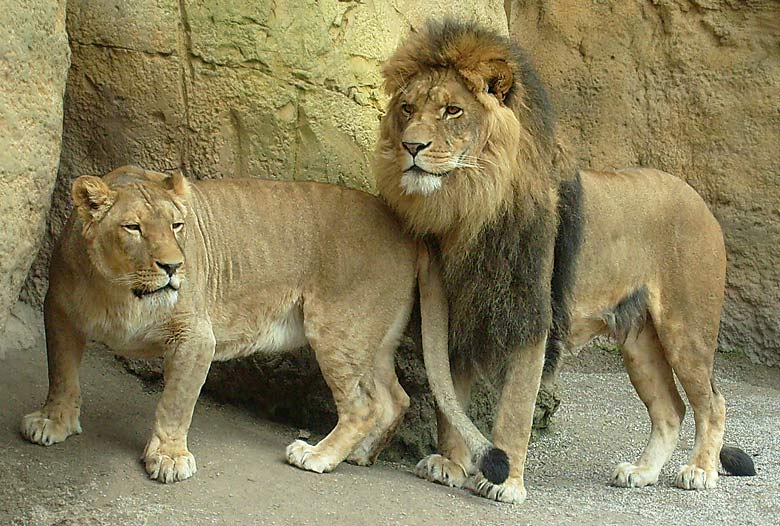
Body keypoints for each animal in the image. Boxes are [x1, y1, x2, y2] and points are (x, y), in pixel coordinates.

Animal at [21, 165, 418, 482]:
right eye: (133, 227)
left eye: (177, 226)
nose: (173, 266)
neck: (122, 293)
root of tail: (402, 228)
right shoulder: (59, 309)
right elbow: (62, 374)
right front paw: (53, 421)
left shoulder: (196, 337)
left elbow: (176, 402)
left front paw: (168, 457)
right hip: (371, 341)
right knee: (394, 398)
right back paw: (360, 454)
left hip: (340, 332)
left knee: (362, 407)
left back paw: (319, 455)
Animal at [374, 21, 752, 508]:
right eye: (407, 108)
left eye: (452, 111)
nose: (411, 146)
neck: (473, 204)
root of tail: (698, 199)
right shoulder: (464, 316)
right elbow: (450, 397)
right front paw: (451, 465)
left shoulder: (531, 316)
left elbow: (515, 408)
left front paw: (506, 481)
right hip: (638, 338)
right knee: (671, 408)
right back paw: (641, 473)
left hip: (686, 328)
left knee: (712, 403)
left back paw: (700, 471)